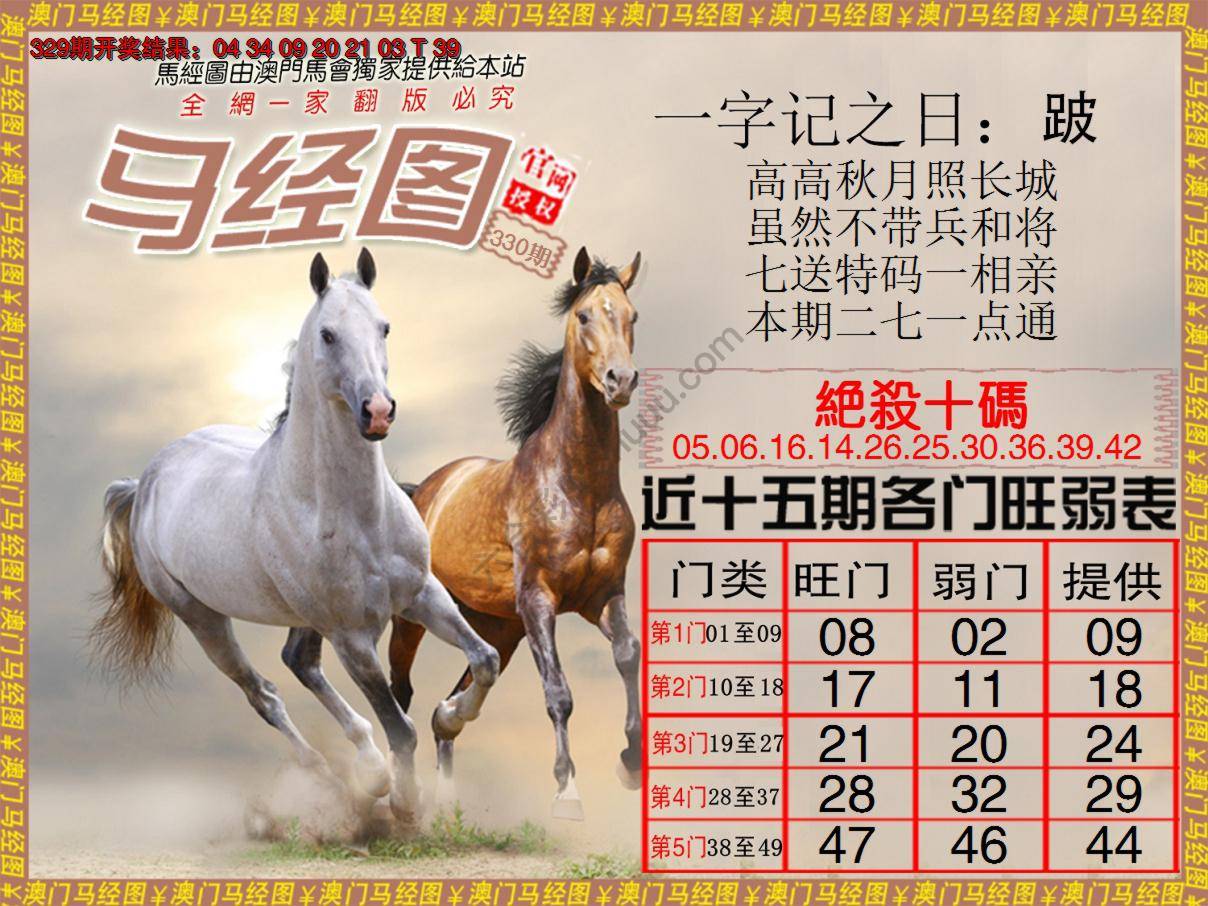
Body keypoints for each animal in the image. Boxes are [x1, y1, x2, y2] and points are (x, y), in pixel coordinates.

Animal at [94, 249, 500, 822]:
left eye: (385, 327)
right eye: (328, 334)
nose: (377, 411)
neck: (356, 515)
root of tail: (145, 480)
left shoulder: (421, 594)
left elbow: (484, 660)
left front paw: (449, 717)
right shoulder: (352, 637)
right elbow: (400, 726)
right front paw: (405, 802)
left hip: (305, 617)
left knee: (299, 662)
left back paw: (367, 770)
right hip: (203, 618)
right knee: (263, 693)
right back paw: (341, 779)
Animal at [386, 246, 643, 820]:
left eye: (632, 316)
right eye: (584, 316)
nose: (620, 380)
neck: (578, 486)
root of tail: (423, 490)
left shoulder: (603, 596)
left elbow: (628, 656)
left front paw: (631, 762)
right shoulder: (539, 600)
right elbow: (559, 692)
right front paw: (567, 792)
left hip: (498, 624)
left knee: (455, 700)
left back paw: (449, 764)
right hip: (416, 618)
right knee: (400, 692)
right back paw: (401, 793)